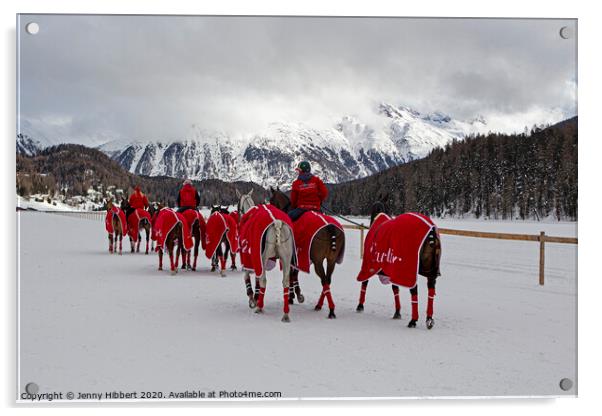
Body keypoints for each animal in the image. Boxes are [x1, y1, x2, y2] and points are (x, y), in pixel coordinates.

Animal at [237, 190, 298, 324]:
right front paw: (256, 296)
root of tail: (276, 223)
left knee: (264, 280)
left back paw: (260, 307)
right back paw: (285, 314)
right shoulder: (256, 260)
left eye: (238, 208)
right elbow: (257, 278)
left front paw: (252, 298)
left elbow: (248, 277)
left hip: (264, 258)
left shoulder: (251, 258)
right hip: (286, 258)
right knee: (285, 281)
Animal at [268, 188, 342, 318]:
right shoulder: (298, 257)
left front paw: (293, 295)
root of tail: (330, 227)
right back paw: (320, 305)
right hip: (331, 260)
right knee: (327, 280)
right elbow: (295, 273)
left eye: (272, 201)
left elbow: (292, 274)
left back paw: (331, 309)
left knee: (324, 280)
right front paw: (295, 294)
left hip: (318, 262)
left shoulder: (293, 256)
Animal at [352, 200, 440, 330]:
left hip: (408, 270)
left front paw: (360, 305)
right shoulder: (393, 269)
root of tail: (431, 232)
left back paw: (413, 320)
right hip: (429, 271)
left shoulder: (370, 265)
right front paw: (397, 312)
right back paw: (429, 318)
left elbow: (364, 283)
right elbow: (395, 288)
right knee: (431, 290)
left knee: (414, 291)